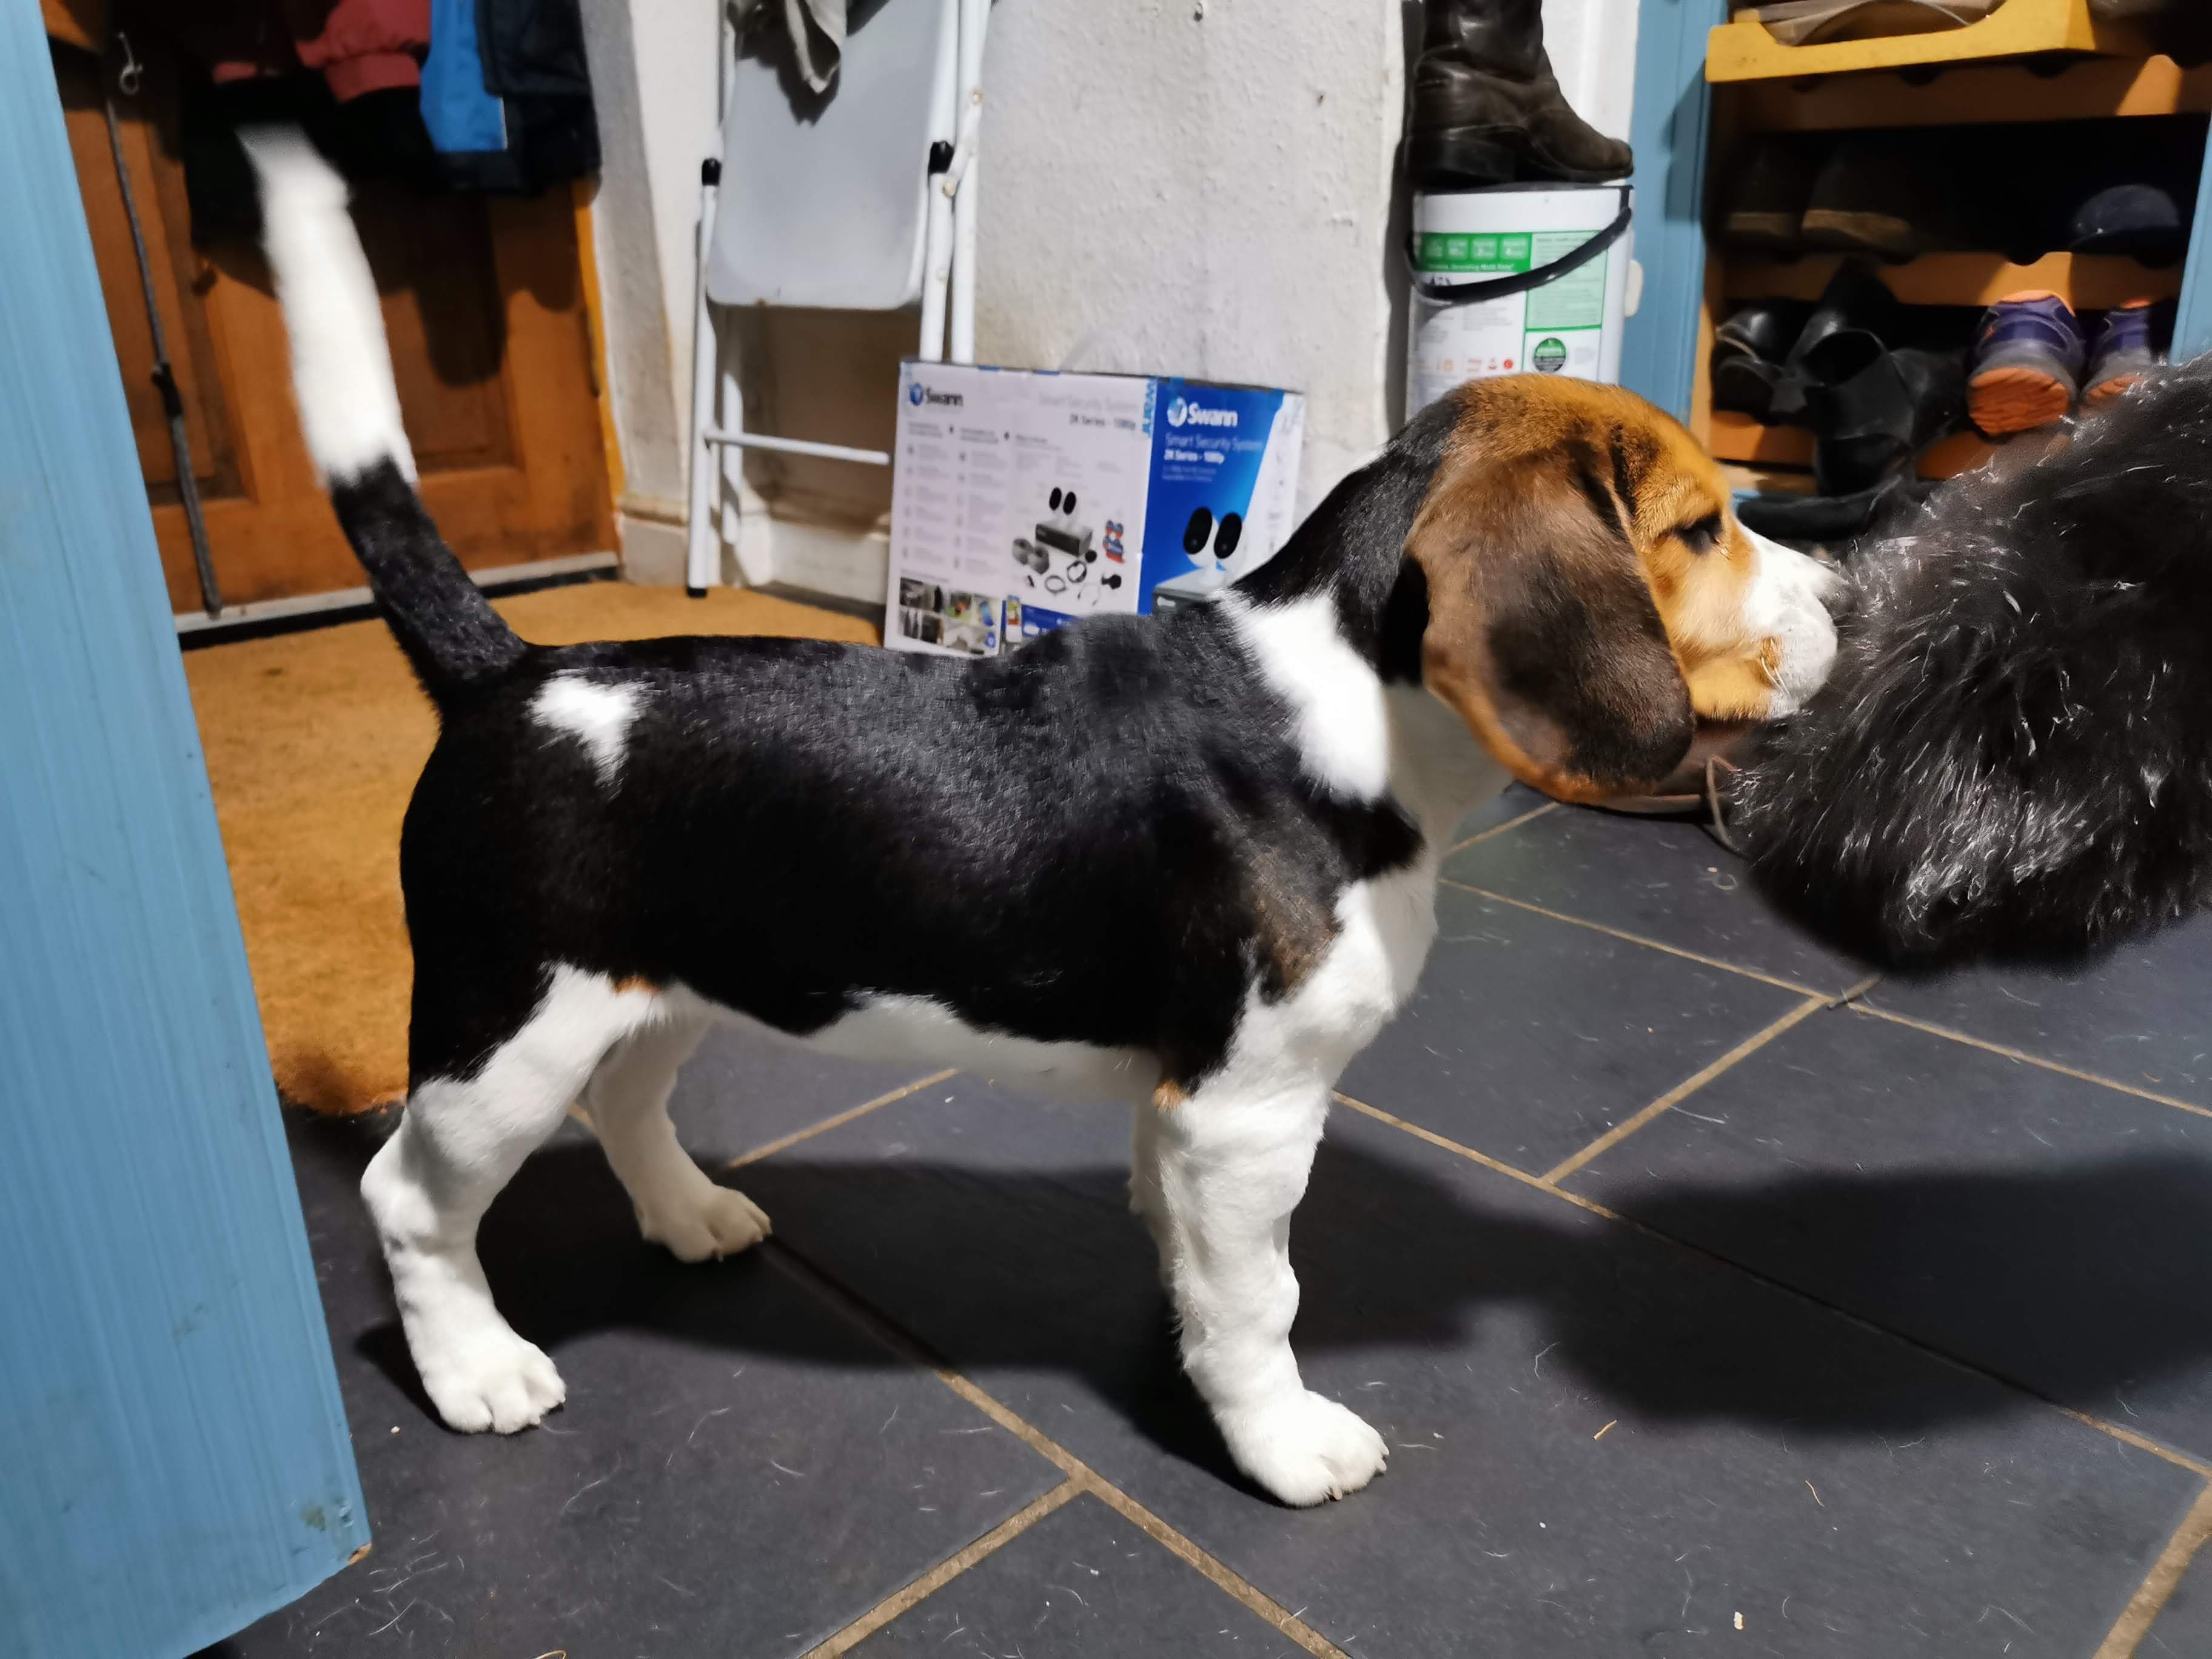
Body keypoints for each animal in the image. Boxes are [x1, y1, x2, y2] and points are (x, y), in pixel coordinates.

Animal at [248, 133, 1838, 1506]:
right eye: (1700, 529)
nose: (1850, 598)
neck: (1353, 702)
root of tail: (510, 669)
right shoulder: (1249, 1115)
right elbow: (1261, 1295)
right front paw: (1278, 1438)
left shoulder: (1188, 1113)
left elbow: (1196, 1264)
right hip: (504, 1028)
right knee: (410, 1196)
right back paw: (476, 1367)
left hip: (654, 985)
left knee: (626, 1101)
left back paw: (690, 1215)